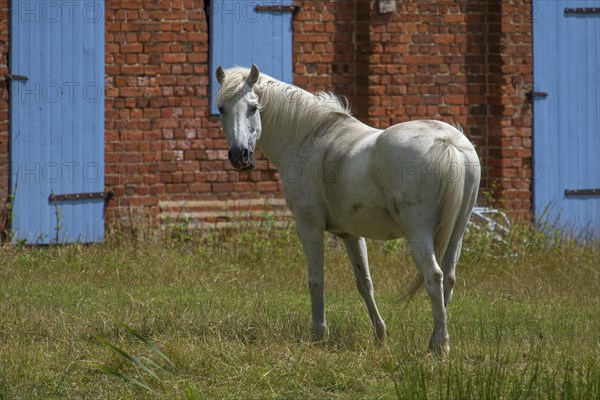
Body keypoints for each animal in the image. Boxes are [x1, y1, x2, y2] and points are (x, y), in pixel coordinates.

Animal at [213, 64, 480, 354]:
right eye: (222, 109)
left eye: (253, 107)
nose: (240, 156)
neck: (307, 136)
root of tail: (447, 142)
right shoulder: (350, 234)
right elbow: (365, 283)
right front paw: (380, 336)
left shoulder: (308, 227)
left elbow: (316, 281)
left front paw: (319, 333)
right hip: (456, 233)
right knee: (449, 278)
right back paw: (435, 338)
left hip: (419, 234)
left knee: (434, 276)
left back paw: (439, 346)